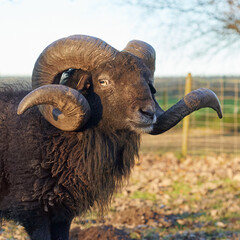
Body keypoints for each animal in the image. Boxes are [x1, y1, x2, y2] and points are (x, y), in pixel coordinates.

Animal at [0, 34, 222, 239]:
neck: (52, 135)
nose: (148, 113)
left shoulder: (62, 215)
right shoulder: (35, 213)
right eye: (103, 81)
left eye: (148, 83)